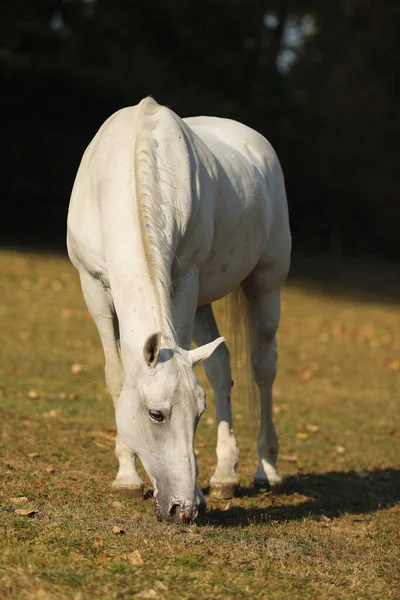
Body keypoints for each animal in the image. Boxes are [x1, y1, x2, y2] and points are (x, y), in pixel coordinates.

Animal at [66, 97, 290, 520]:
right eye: (157, 414)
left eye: (198, 413)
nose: (181, 508)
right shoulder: (93, 287)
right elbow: (116, 375)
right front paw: (127, 477)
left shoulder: (184, 280)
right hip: (205, 302)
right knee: (221, 367)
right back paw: (224, 476)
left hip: (266, 285)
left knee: (264, 367)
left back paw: (266, 469)